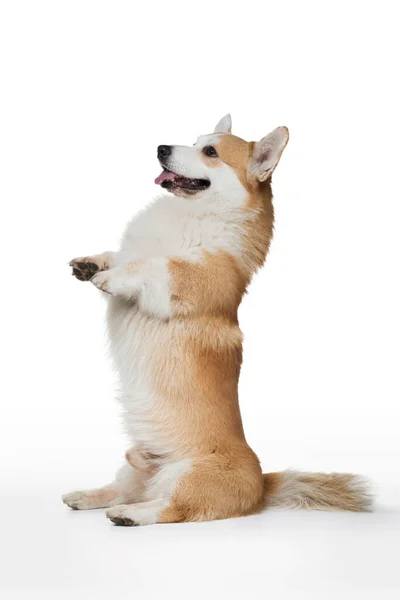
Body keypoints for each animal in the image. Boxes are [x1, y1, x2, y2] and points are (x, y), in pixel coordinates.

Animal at [62, 113, 372, 524]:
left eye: (210, 152)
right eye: (194, 141)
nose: (161, 147)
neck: (193, 213)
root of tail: (262, 486)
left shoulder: (185, 278)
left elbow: (150, 265)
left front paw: (110, 278)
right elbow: (119, 254)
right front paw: (91, 264)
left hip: (191, 476)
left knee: (170, 507)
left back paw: (130, 515)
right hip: (132, 468)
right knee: (125, 487)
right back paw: (86, 496)